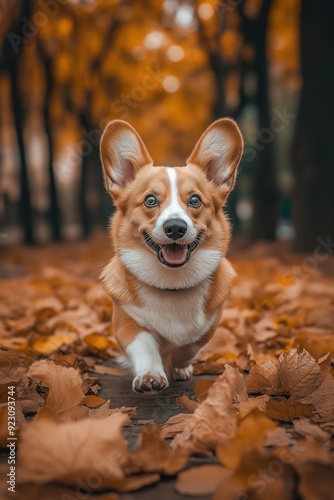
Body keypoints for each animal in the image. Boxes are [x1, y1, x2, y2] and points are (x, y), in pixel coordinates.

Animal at [99, 119, 243, 392]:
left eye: (195, 200)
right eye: (150, 200)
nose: (175, 227)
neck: (171, 284)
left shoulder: (209, 326)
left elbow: (188, 346)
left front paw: (178, 366)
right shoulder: (126, 322)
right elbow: (146, 346)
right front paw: (150, 375)